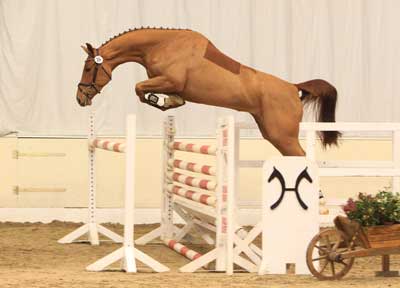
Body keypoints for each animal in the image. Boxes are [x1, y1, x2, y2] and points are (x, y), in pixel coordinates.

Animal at [76, 28, 340, 156]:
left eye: (88, 68)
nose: (80, 98)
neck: (163, 44)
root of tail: (294, 88)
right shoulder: (171, 85)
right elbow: (168, 97)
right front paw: (168, 103)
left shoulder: (169, 80)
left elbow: (139, 88)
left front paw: (157, 100)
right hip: (271, 133)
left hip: (282, 136)